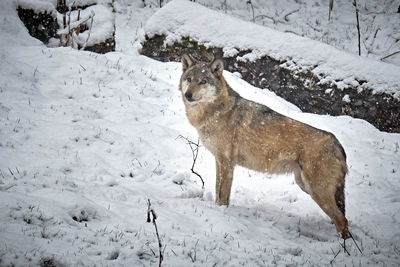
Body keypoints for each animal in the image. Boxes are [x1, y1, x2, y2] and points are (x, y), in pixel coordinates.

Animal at [179, 54, 350, 239]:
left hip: (316, 190)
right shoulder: (219, 161)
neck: (216, 112)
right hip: (305, 185)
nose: (188, 95)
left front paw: (221, 213)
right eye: (189, 79)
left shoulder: (227, 163)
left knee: (343, 220)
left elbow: (223, 196)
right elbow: (218, 191)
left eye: (203, 81)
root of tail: (338, 143)